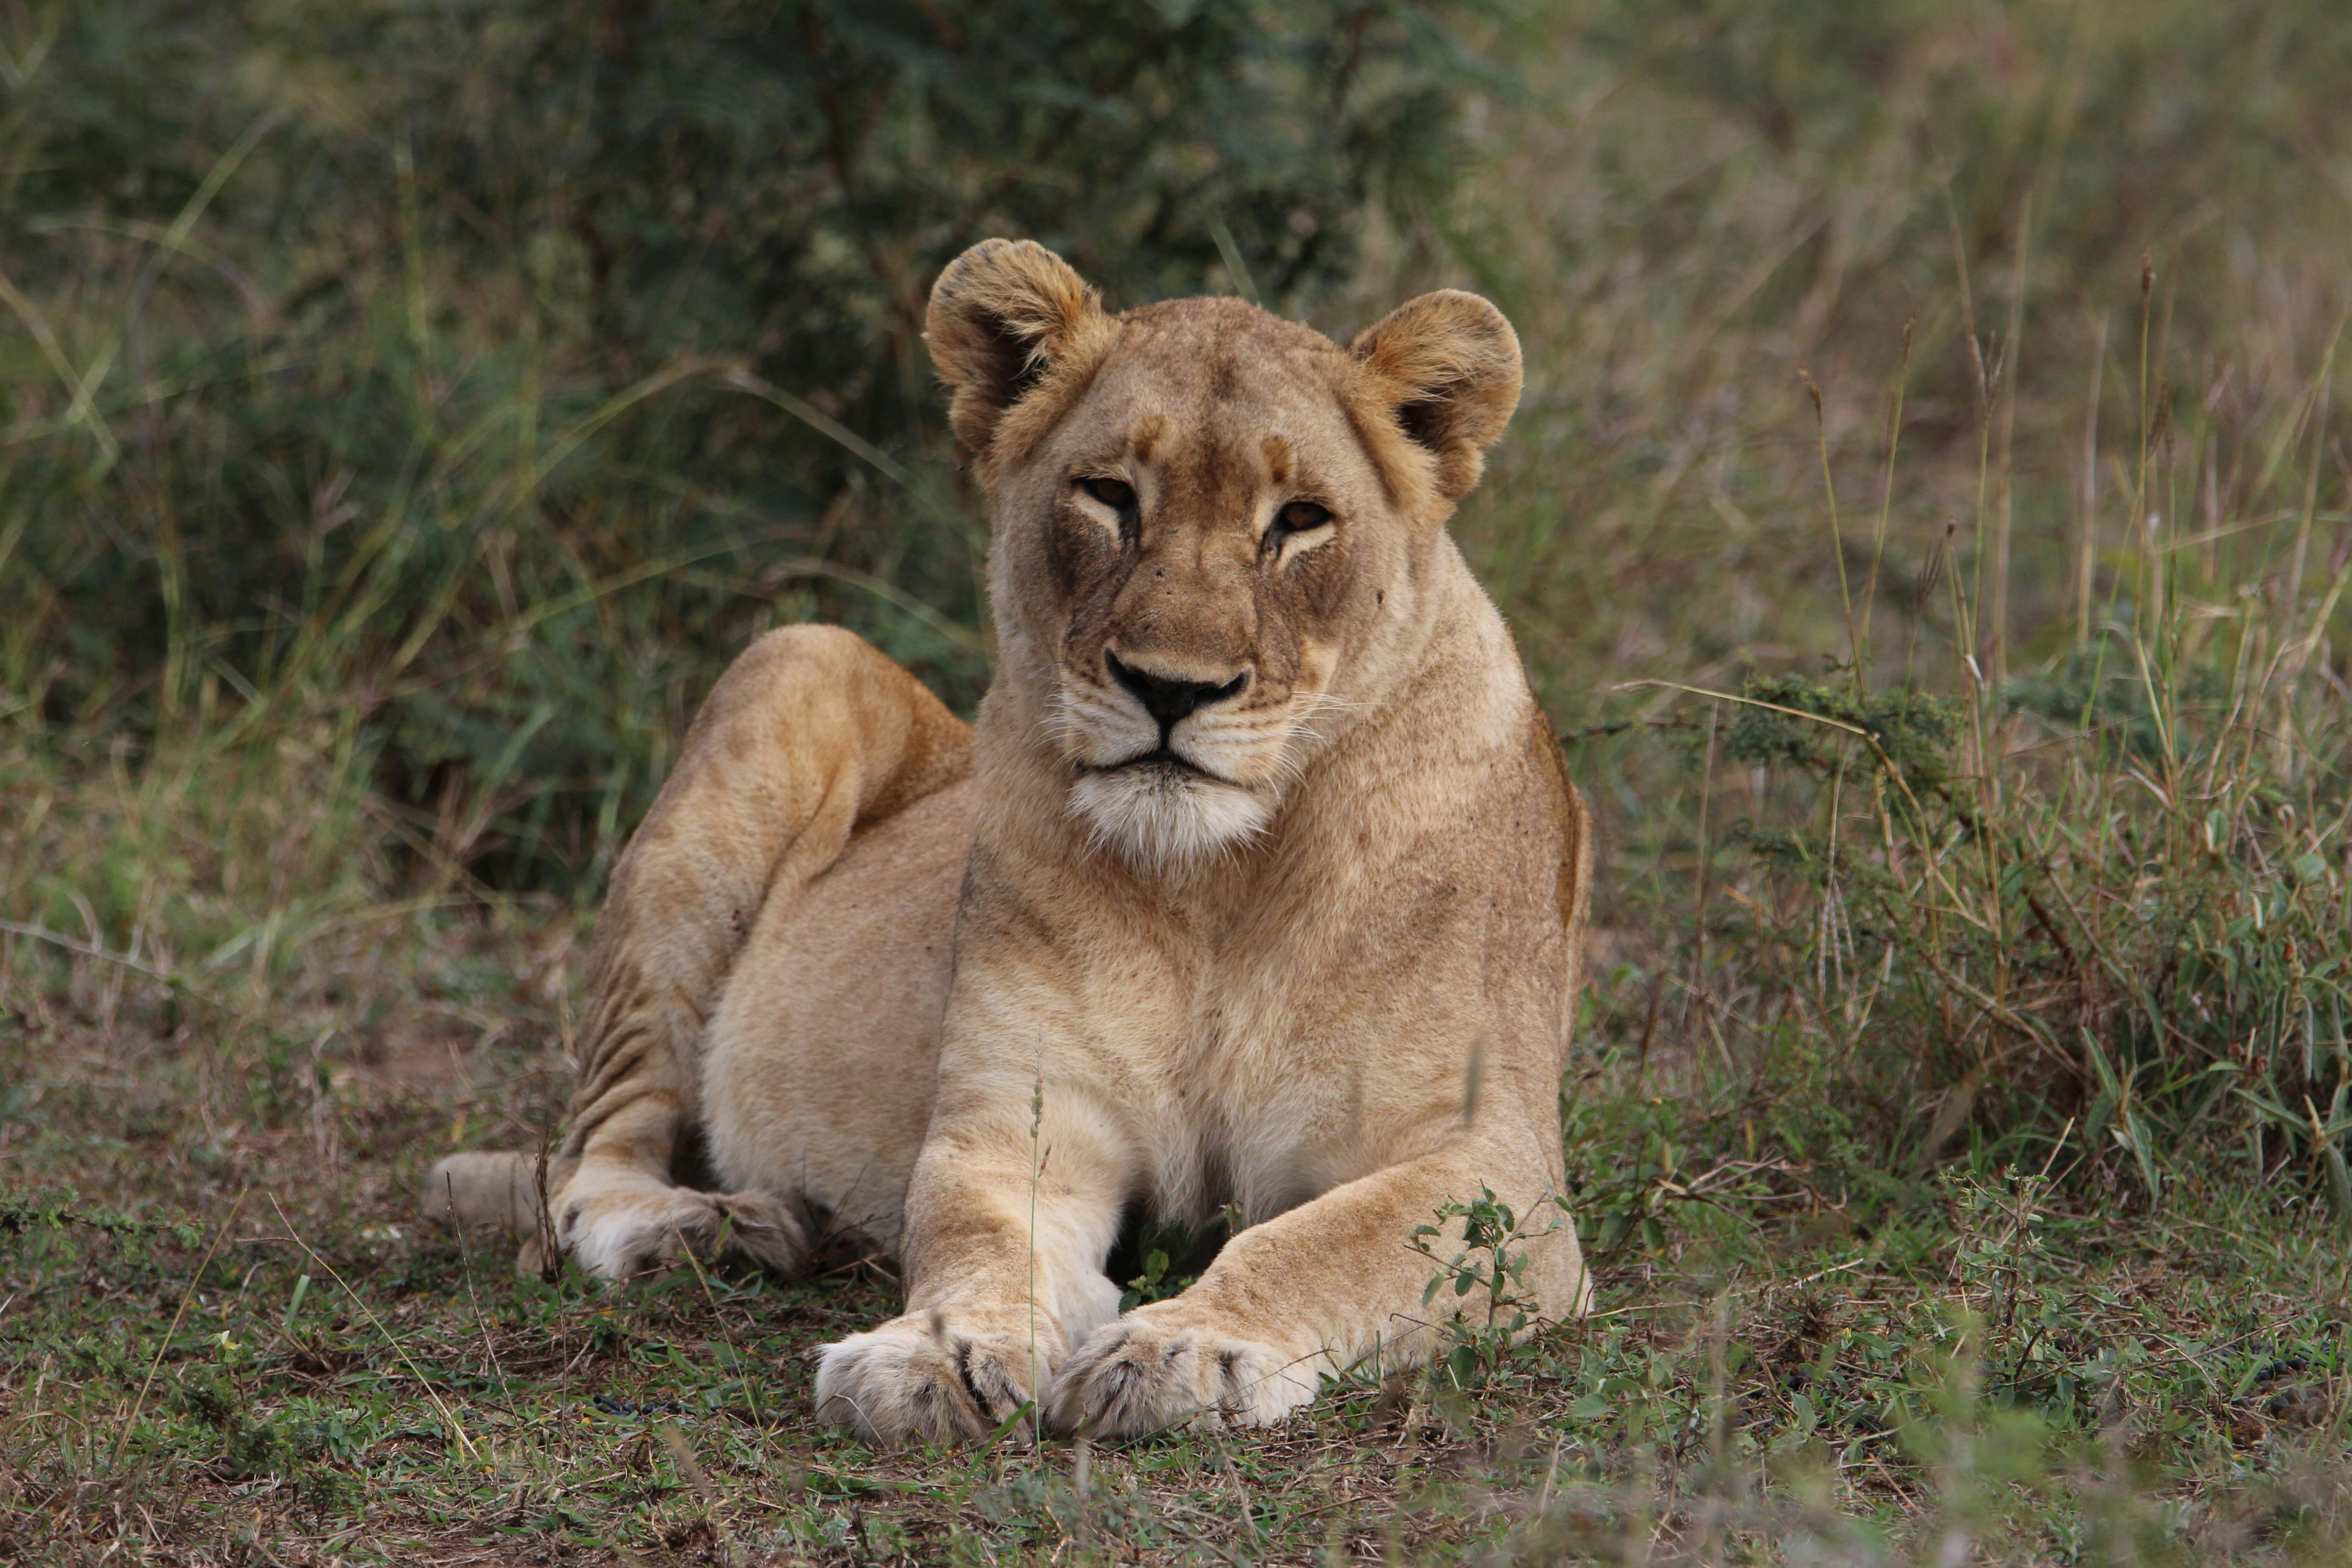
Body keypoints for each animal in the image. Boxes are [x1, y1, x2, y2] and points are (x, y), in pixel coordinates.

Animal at [426, 237, 1595, 1443]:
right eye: (1110, 494)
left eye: (1300, 520)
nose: (1172, 688)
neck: (1216, 884)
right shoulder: (1014, 1124)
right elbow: (976, 1240)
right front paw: (936, 1350)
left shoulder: (1493, 1171)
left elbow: (1321, 1241)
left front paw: (1189, 1345)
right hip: (792, 661)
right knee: (586, 1163)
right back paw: (699, 1228)